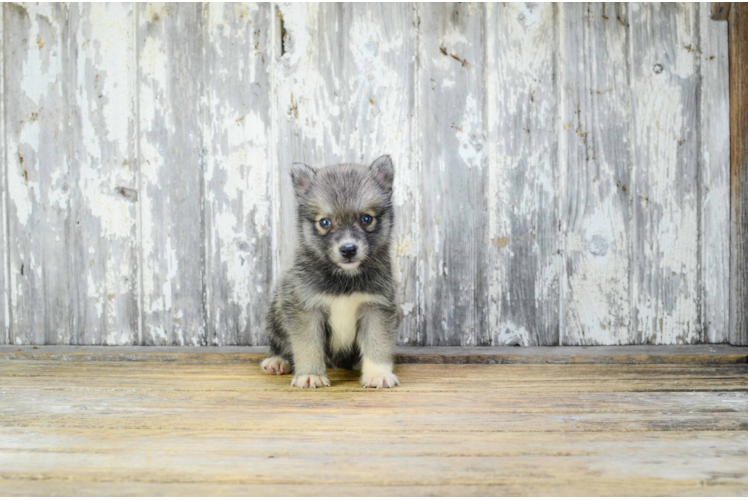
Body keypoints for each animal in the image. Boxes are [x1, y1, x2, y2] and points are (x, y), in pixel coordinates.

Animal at [262, 154, 404, 388]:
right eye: (325, 222)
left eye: (366, 219)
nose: (348, 249)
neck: (344, 277)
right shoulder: (305, 310)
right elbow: (307, 346)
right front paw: (310, 374)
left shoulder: (376, 308)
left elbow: (377, 343)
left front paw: (377, 374)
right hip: (277, 310)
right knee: (280, 344)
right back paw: (278, 360)